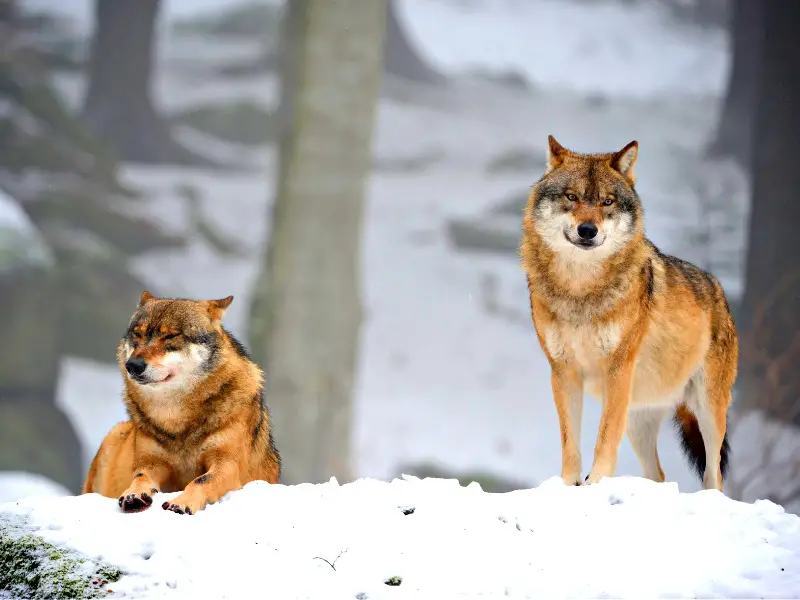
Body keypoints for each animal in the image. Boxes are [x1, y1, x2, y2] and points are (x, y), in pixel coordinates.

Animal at [83, 290, 282, 510]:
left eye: (170, 335)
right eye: (138, 334)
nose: (133, 365)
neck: (173, 416)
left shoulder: (227, 464)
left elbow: (201, 480)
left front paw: (181, 503)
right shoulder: (151, 463)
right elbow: (140, 477)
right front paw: (133, 495)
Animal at [520, 137, 736, 492]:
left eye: (607, 201)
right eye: (572, 197)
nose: (588, 230)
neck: (581, 290)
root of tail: (719, 289)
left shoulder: (618, 369)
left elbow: (605, 436)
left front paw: (596, 482)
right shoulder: (563, 372)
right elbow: (570, 442)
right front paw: (569, 485)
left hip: (708, 410)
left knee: (713, 474)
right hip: (638, 419)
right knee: (658, 475)